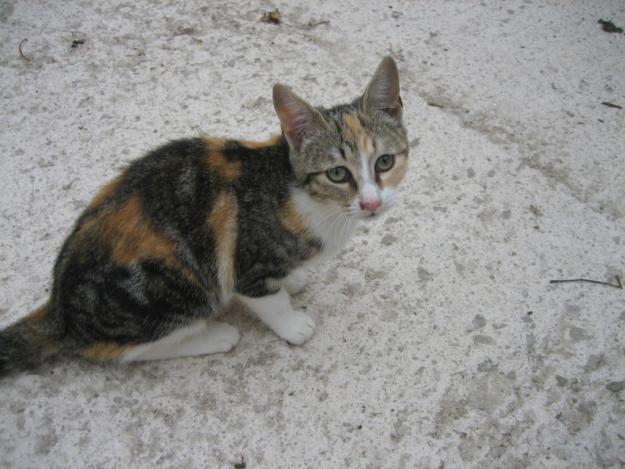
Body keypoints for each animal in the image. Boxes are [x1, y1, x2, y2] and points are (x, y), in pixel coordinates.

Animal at [0, 56, 410, 374]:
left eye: (385, 162)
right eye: (337, 174)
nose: (372, 204)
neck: (302, 193)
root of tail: (59, 309)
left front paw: (293, 279)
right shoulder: (246, 265)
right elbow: (270, 300)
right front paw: (293, 324)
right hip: (177, 286)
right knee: (121, 351)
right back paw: (215, 336)